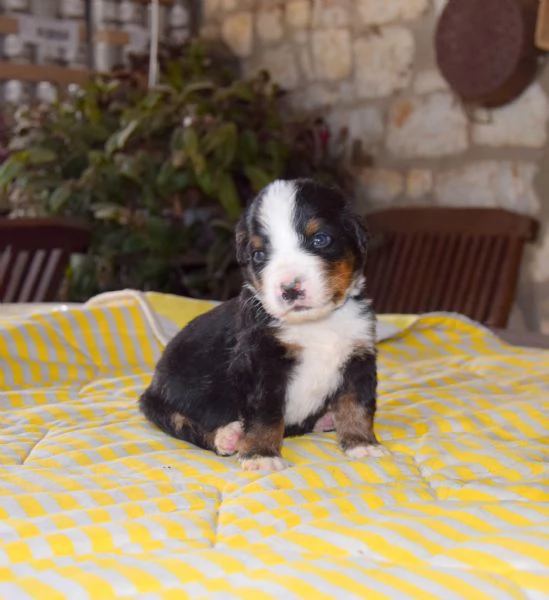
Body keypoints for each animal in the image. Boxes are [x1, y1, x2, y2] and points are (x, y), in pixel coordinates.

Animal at [139, 178, 388, 468]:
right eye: (259, 255)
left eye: (320, 239)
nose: (290, 289)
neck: (314, 324)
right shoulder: (261, 362)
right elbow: (264, 415)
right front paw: (262, 455)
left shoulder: (358, 355)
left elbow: (356, 405)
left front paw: (362, 444)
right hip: (164, 400)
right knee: (182, 423)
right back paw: (227, 436)